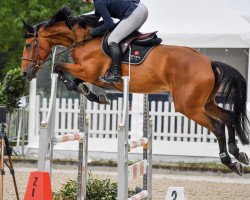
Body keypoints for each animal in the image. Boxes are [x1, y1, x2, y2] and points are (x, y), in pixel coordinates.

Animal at [21, 7, 250, 175]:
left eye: (29, 45)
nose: (26, 73)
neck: (84, 39)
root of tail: (209, 62)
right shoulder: (86, 72)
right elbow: (74, 79)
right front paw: (93, 94)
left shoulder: (88, 70)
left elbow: (60, 68)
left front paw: (89, 92)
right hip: (205, 102)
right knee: (229, 117)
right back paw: (239, 154)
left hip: (189, 106)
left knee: (218, 126)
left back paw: (229, 161)